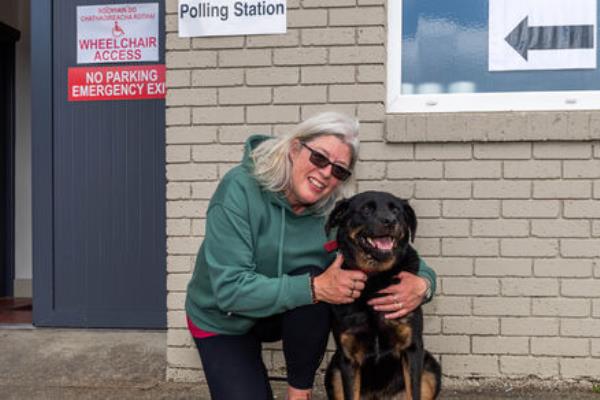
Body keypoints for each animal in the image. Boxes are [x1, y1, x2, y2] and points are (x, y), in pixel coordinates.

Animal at [324, 192, 440, 398]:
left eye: (396, 210)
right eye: (366, 209)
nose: (390, 221)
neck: (375, 279)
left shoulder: (412, 348)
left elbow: (414, 392)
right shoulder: (347, 356)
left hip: (431, 368)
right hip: (333, 371)